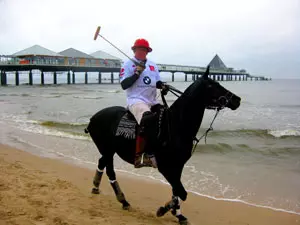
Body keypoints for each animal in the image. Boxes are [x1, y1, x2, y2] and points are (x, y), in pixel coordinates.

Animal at [84, 67, 241, 225]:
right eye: (212, 85)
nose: (237, 100)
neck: (177, 125)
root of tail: (92, 119)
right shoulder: (165, 167)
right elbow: (182, 193)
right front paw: (164, 210)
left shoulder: (178, 166)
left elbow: (177, 191)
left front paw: (178, 214)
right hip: (107, 150)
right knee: (110, 171)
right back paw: (123, 200)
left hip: (108, 150)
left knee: (102, 163)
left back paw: (96, 187)